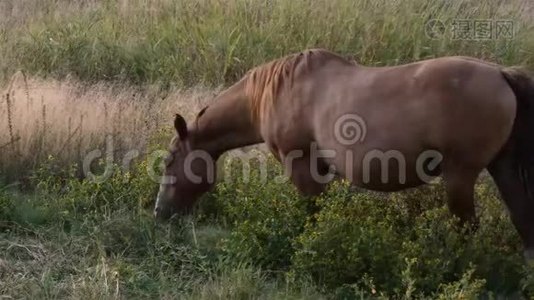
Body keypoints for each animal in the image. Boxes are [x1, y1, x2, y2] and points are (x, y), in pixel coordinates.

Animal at [154, 48, 534, 258]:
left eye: (170, 161)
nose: (159, 212)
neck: (274, 92)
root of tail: (501, 73)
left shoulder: (302, 167)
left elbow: (310, 215)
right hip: (503, 169)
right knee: (523, 219)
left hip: (459, 177)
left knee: (466, 228)